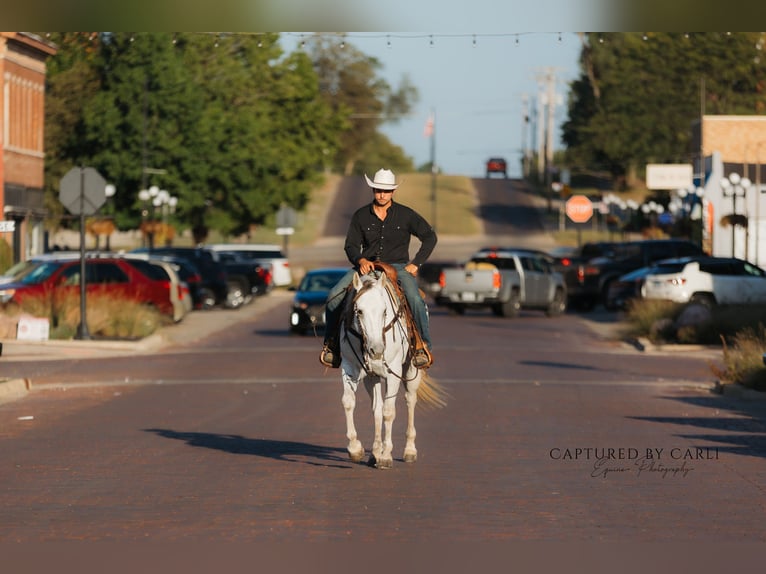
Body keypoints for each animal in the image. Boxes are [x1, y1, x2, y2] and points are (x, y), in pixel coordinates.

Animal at [338, 267, 446, 469]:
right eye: (359, 311)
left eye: (384, 311)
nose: (377, 349)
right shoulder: (349, 367)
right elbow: (349, 402)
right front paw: (356, 449)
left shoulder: (393, 373)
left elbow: (389, 412)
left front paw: (386, 456)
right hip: (371, 377)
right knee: (376, 408)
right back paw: (375, 452)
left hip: (411, 371)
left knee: (410, 400)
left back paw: (409, 450)